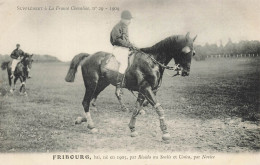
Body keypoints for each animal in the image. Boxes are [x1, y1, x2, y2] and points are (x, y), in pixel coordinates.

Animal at [65, 32, 197, 141]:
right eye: (185, 51)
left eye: (193, 53)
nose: (186, 72)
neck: (152, 61)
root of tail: (89, 56)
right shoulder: (146, 88)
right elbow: (158, 108)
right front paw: (165, 132)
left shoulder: (144, 91)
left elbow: (137, 108)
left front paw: (132, 129)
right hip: (91, 84)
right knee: (86, 102)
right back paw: (91, 126)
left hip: (102, 84)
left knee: (91, 99)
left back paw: (82, 119)